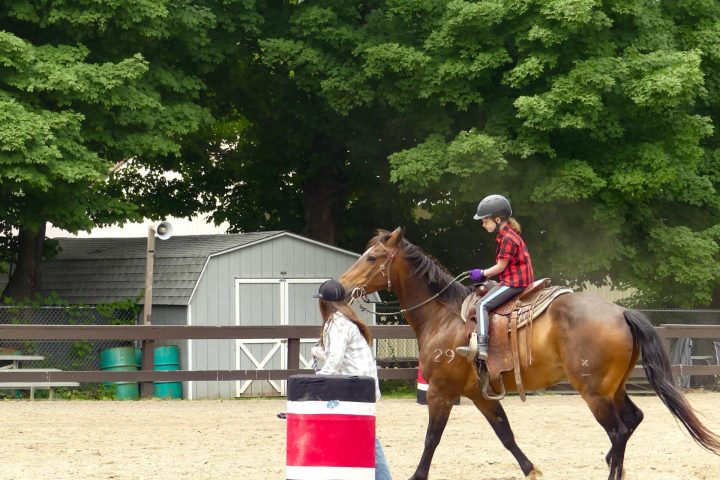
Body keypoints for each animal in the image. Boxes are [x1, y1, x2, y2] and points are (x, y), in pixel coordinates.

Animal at [338, 227, 720, 480]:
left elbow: (432, 438)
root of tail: (620, 312)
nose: (340, 286)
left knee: (619, 430)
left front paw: (417, 475)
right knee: (633, 420)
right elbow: (505, 433)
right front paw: (531, 468)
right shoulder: (480, 394)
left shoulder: (440, 393)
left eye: (373, 257)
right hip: (614, 388)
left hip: (594, 392)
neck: (443, 317)